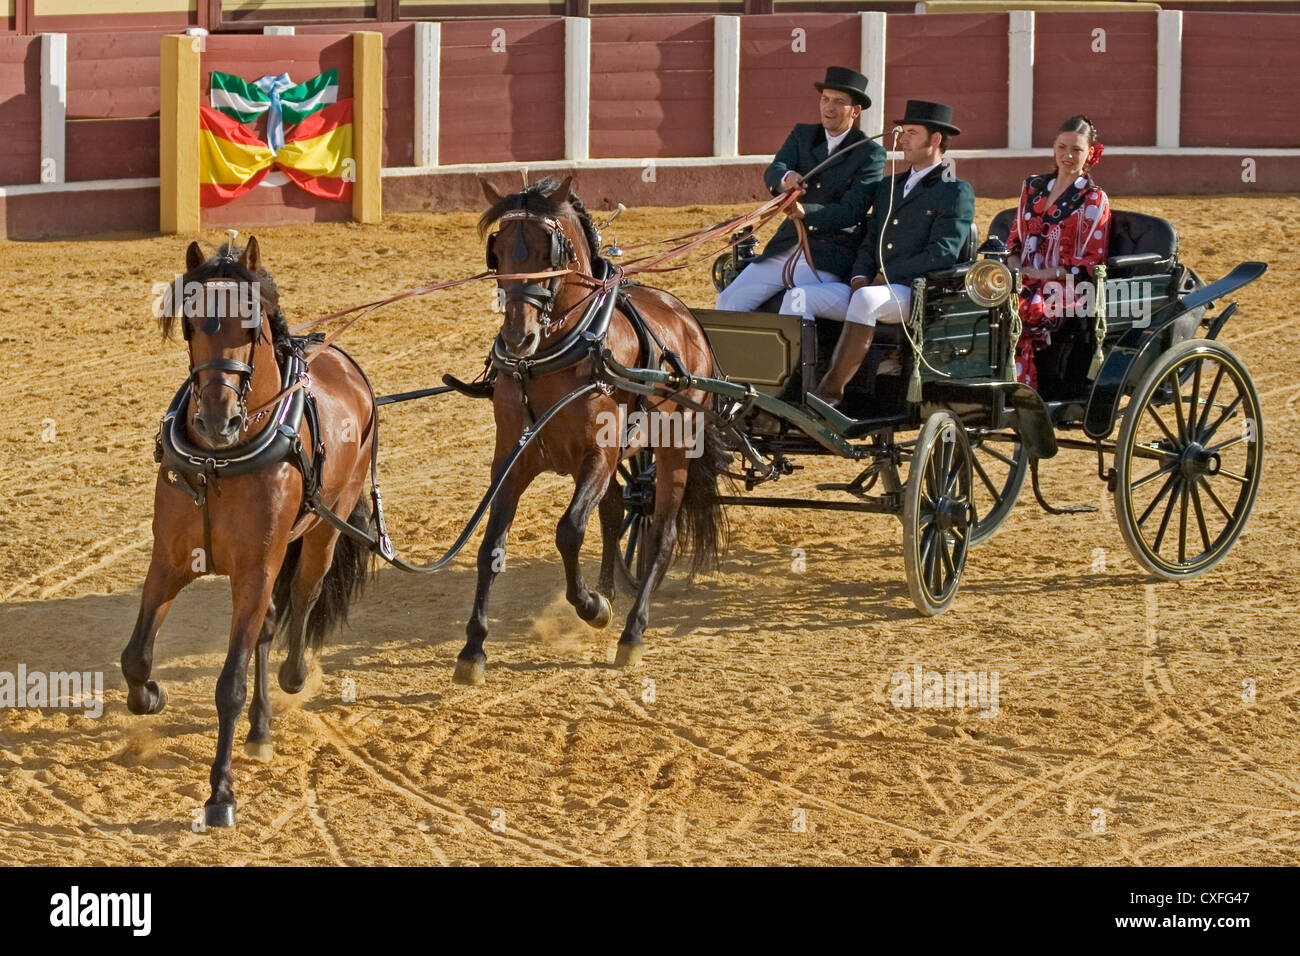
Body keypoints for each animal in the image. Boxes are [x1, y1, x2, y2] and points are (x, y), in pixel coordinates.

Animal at [122, 239, 377, 832]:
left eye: (251, 324)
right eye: (191, 324)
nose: (217, 421)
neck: (219, 462)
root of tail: (339, 360)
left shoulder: (255, 573)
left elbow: (229, 685)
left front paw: (220, 793)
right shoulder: (169, 562)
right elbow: (136, 656)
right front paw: (151, 696)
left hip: (322, 531)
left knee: (301, 601)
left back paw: (292, 679)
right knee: (269, 624)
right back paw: (260, 729)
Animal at [462, 171, 733, 681]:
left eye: (550, 251)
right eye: (498, 249)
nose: (518, 337)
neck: (552, 357)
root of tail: (686, 317)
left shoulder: (600, 454)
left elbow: (569, 530)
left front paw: (592, 607)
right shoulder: (513, 457)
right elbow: (491, 544)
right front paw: (473, 647)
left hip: (674, 448)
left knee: (661, 536)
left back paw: (631, 630)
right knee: (613, 512)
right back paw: (608, 586)